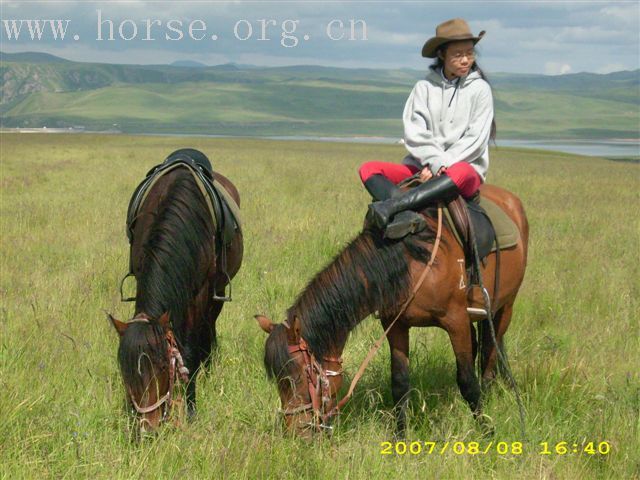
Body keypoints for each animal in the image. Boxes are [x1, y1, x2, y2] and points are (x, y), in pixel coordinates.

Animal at [108, 152, 242, 434]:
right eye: (125, 371)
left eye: (161, 367)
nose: (147, 428)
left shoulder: (202, 292)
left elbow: (190, 347)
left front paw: (190, 407)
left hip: (218, 292)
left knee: (208, 327)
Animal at [258, 185, 528, 438]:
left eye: (298, 377)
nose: (295, 432)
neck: (410, 260)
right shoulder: (396, 325)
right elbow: (399, 383)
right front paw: (400, 437)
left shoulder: (456, 321)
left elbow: (468, 381)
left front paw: (486, 431)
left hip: (504, 308)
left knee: (489, 356)